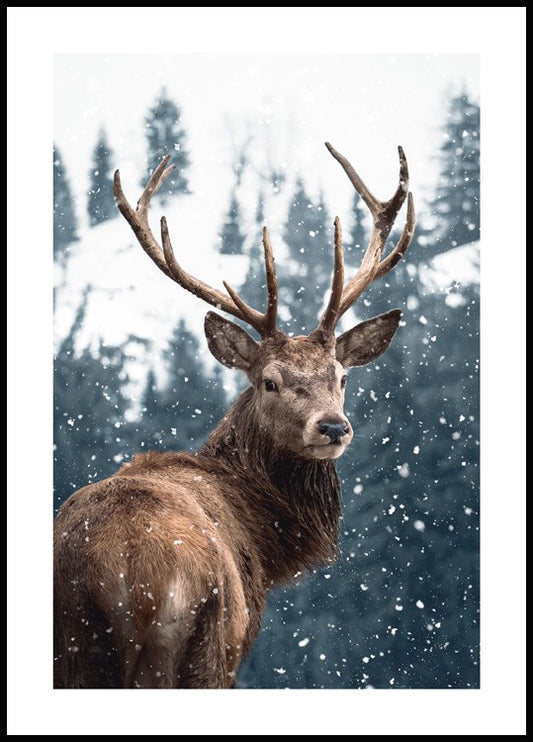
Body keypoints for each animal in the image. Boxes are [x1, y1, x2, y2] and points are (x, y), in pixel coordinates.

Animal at [54, 142, 415, 688]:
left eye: (342, 377)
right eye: (270, 381)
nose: (333, 426)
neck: (265, 542)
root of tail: (129, 577)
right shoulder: (233, 645)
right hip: (197, 641)